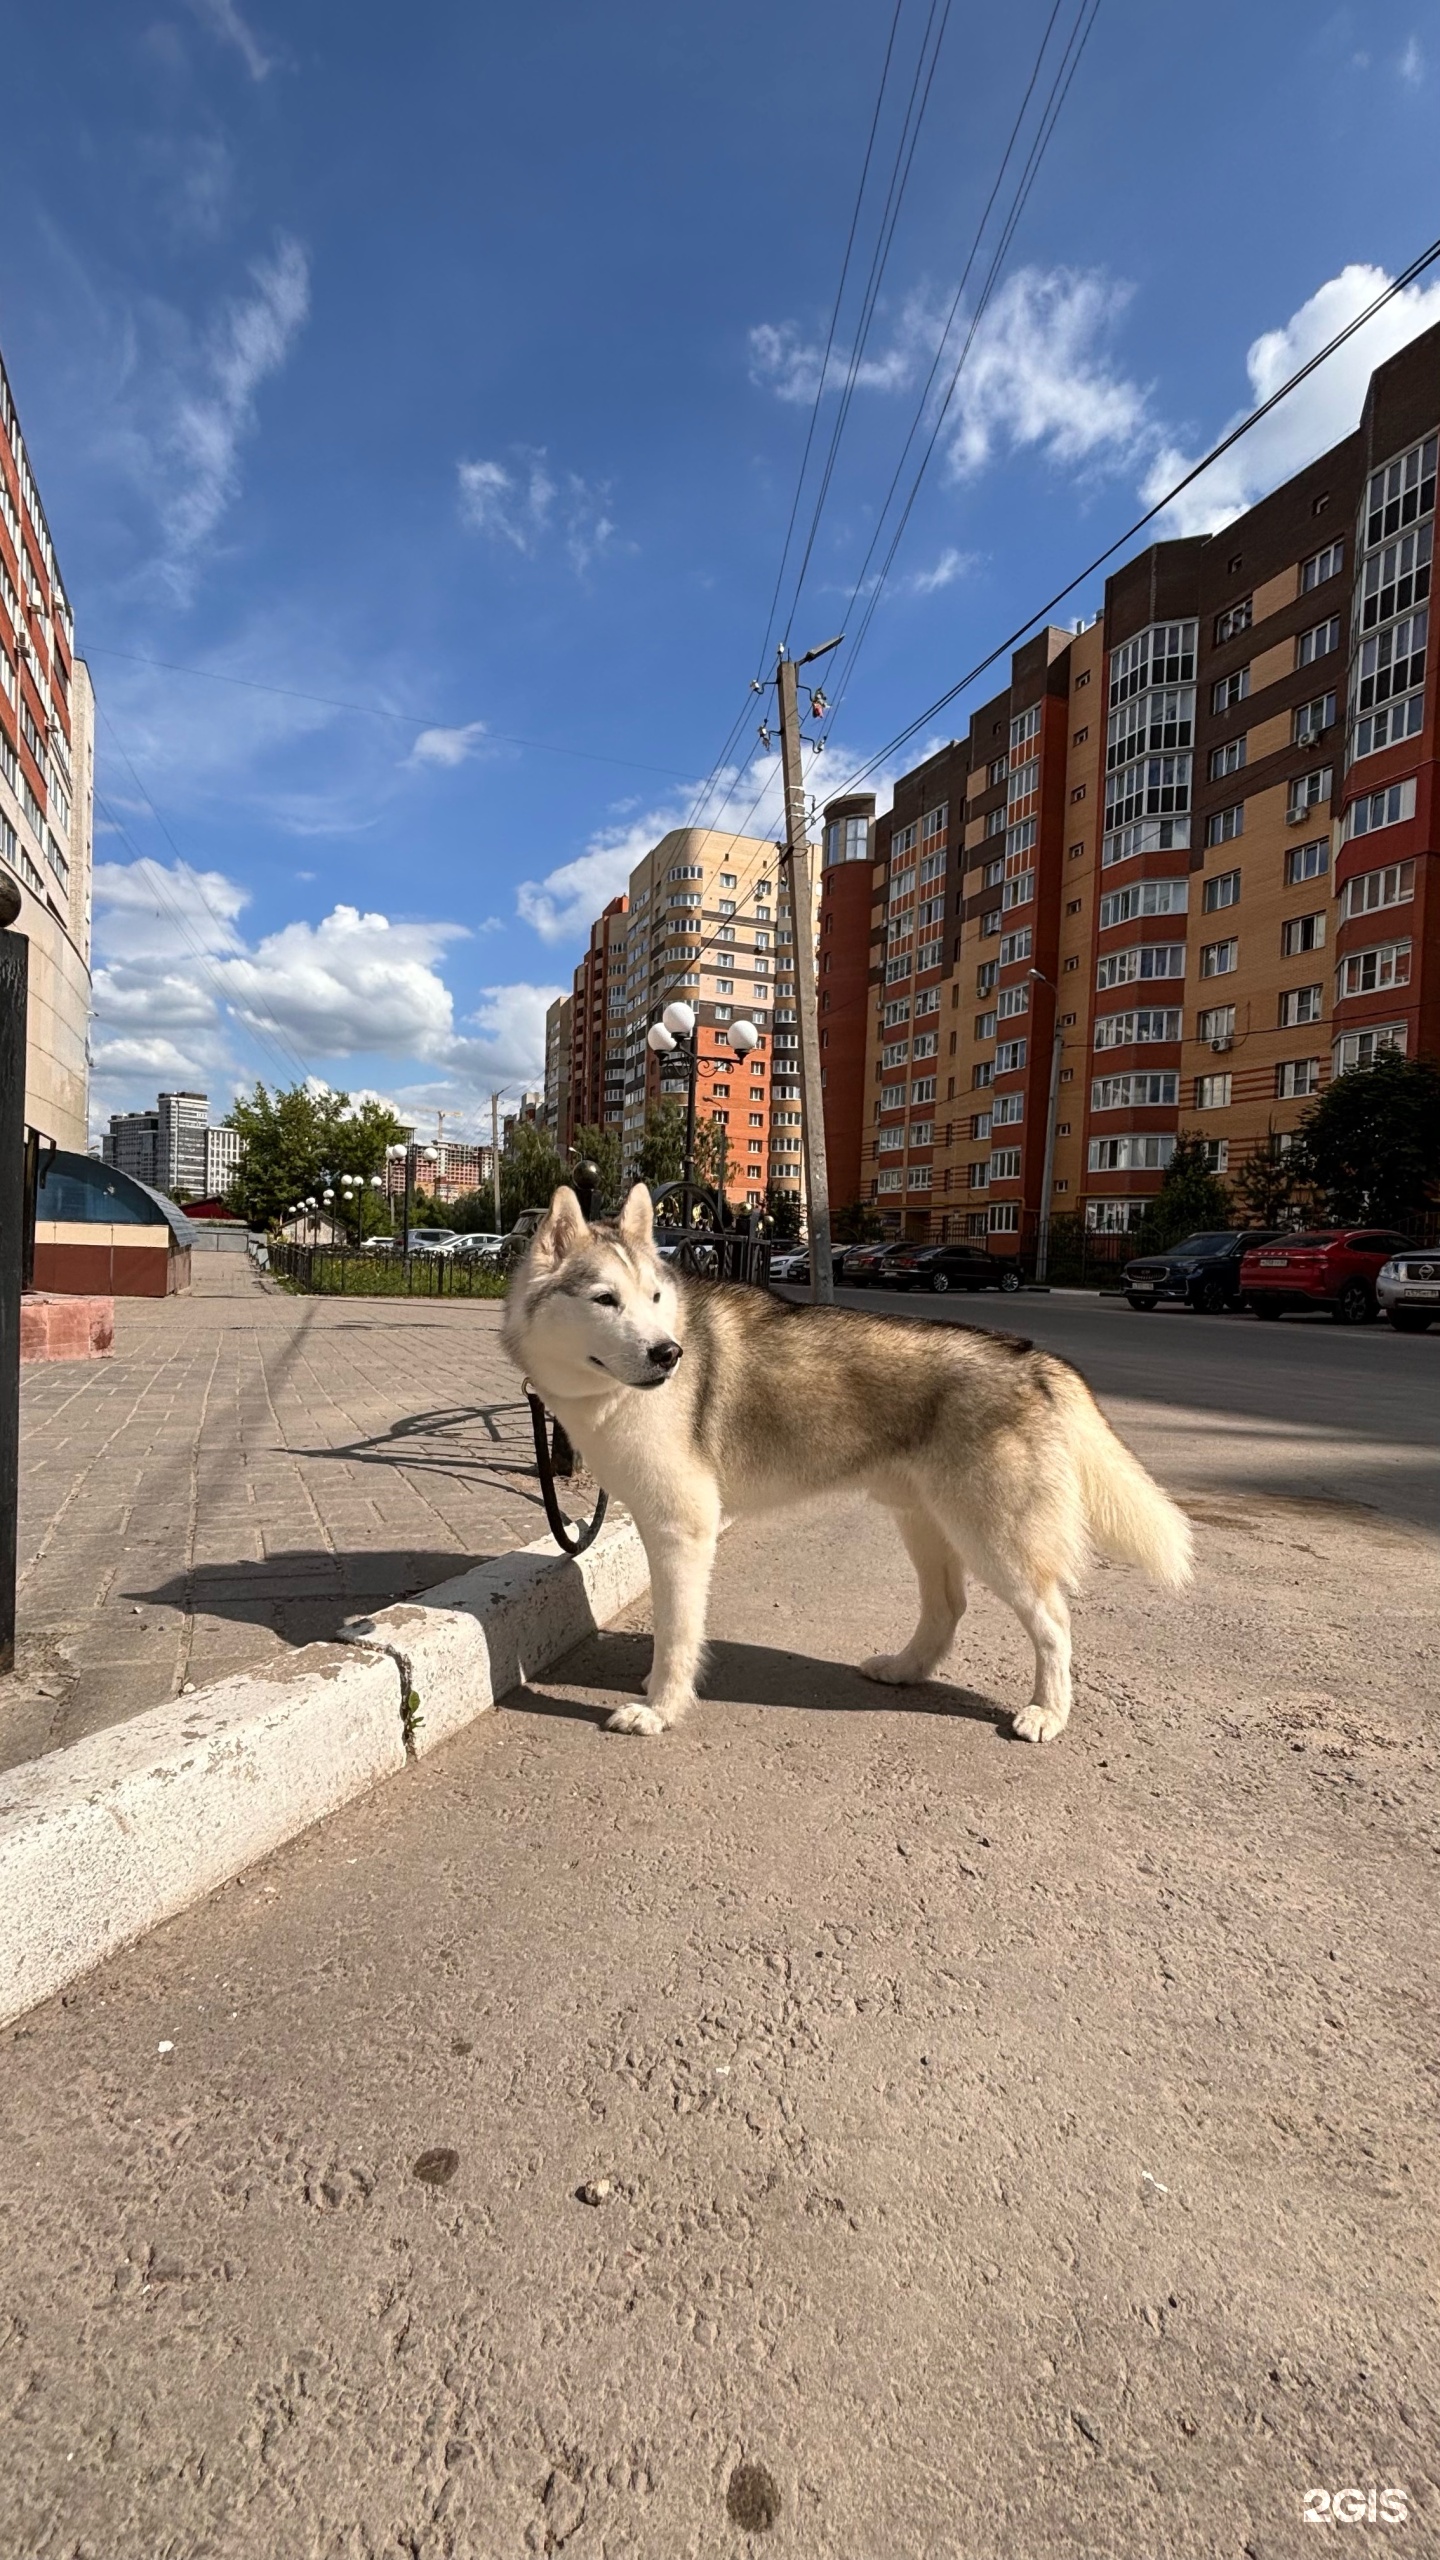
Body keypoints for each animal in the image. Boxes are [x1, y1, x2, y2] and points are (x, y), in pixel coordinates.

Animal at [504, 1187, 1188, 1751]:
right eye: (605, 1300)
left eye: (653, 1298)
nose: (668, 1353)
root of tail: (1034, 1358)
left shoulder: (683, 1530)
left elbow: (676, 1636)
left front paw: (660, 1709)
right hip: (926, 1525)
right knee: (947, 1607)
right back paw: (905, 1670)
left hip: (995, 1541)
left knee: (1054, 1622)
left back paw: (1048, 1712)